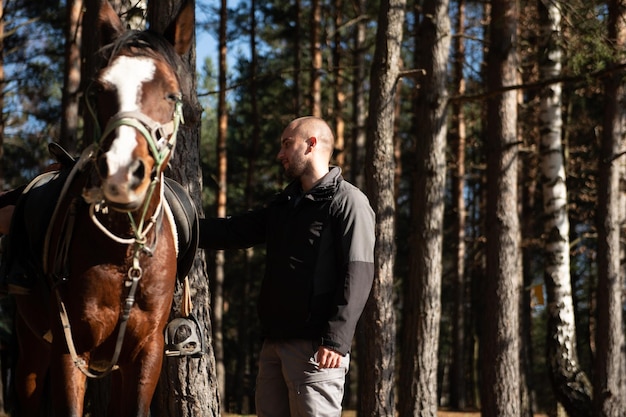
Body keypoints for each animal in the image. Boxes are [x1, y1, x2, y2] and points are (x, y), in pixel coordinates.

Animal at [1, 1, 195, 414]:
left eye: (171, 95)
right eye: (100, 89)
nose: (121, 171)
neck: (124, 254)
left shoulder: (146, 355)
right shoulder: (70, 351)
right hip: (32, 349)